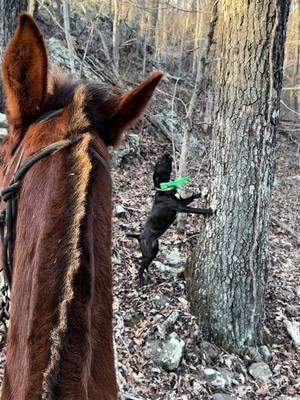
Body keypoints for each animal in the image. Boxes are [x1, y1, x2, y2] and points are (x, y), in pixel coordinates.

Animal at [127, 153, 212, 288]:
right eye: (159, 163)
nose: (166, 153)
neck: (165, 189)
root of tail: (138, 236)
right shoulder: (181, 207)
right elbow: (195, 209)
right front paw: (208, 210)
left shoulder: (182, 201)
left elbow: (192, 197)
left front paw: (201, 193)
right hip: (148, 253)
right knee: (140, 268)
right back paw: (141, 281)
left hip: (154, 250)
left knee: (146, 266)